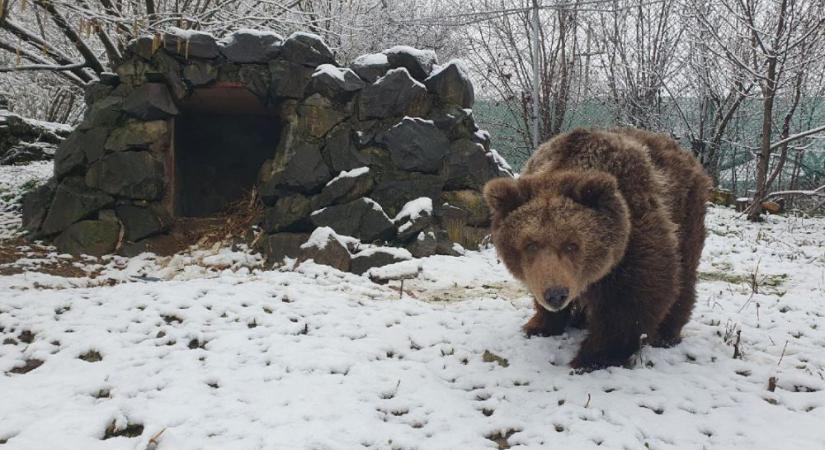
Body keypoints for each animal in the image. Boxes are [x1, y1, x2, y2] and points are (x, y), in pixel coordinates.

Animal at [482, 126, 708, 370]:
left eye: (572, 244)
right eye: (530, 244)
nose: (556, 295)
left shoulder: (634, 234)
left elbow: (632, 298)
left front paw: (591, 357)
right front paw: (539, 325)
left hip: (685, 214)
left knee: (684, 273)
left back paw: (666, 334)